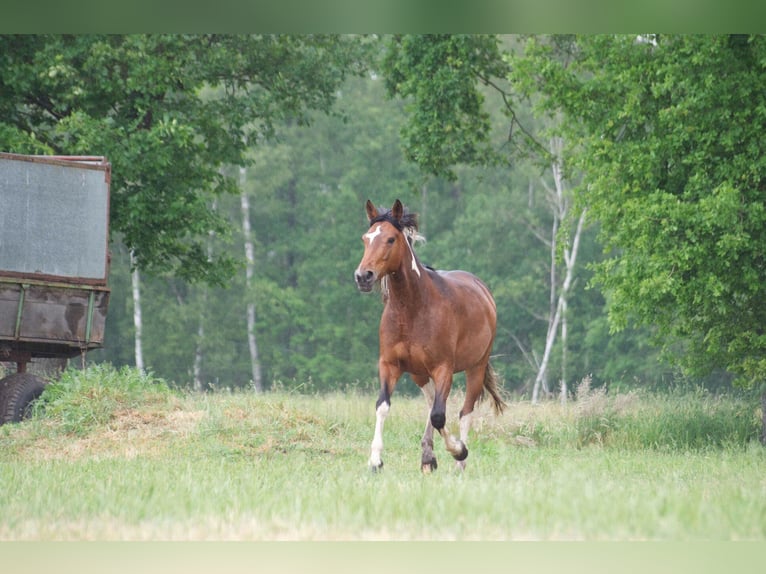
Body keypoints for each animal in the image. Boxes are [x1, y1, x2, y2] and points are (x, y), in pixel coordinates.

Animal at [356, 200, 508, 474]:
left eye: (391, 239)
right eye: (366, 238)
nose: (363, 276)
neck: (412, 309)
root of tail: (482, 289)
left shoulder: (443, 368)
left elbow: (440, 415)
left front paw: (458, 450)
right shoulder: (390, 365)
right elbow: (383, 406)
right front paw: (375, 460)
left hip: (476, 367)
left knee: (464, 411)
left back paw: (460, 463)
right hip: (419, 373)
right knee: (431, 404)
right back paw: (428, 457)